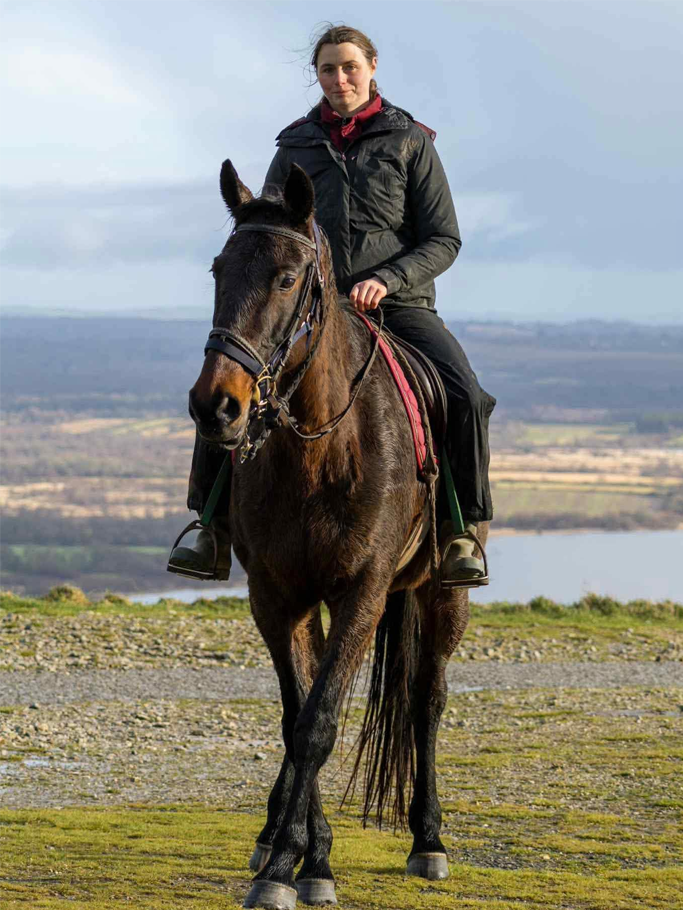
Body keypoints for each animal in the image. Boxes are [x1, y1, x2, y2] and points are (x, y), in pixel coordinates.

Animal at [188, 159, 488, 909]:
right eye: (217, 270)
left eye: (288, 278)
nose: (216, 406)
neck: (322, 447)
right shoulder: (276, 596)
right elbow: (296, 720)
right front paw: (302, 859)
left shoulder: (365, 590)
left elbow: (321, 722)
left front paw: (287, 870)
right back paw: (279, 834)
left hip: (442, 592)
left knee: (426, 700)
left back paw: (428, 840)